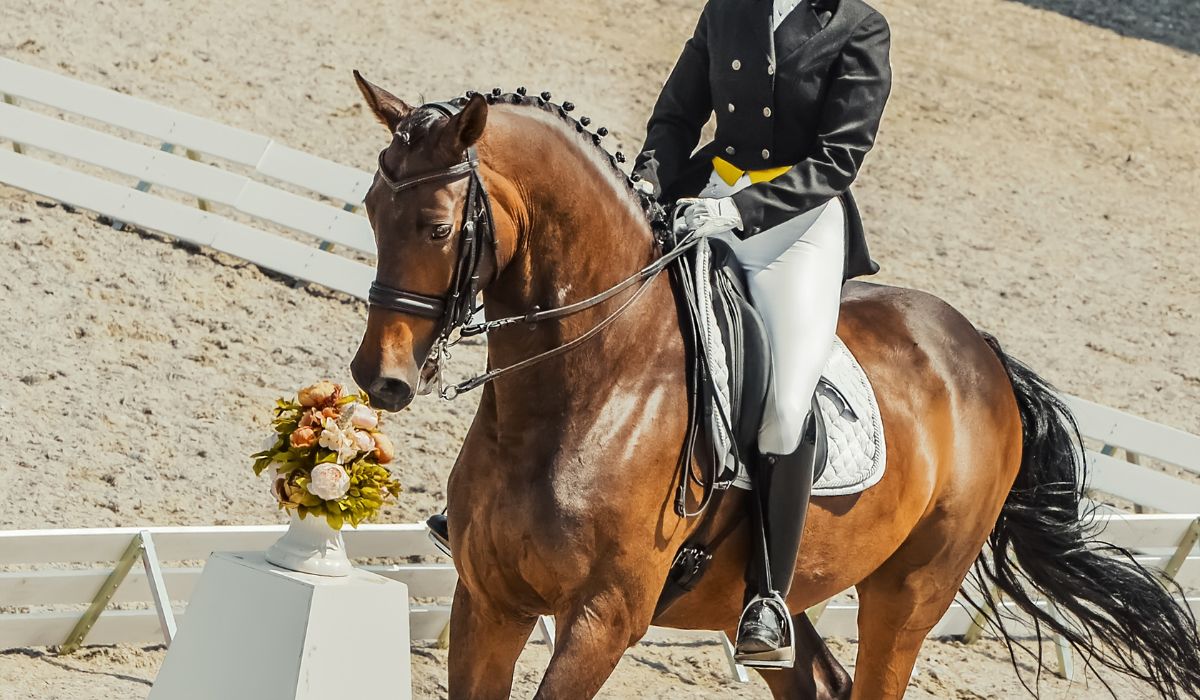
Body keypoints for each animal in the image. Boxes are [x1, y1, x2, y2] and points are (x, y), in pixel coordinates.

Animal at [348, 73, 1200, 696]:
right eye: (369, 208)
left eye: (435, 226)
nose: (377, 377)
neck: (584, 395)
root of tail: (981, 351)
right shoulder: (487, 599)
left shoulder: (599, 620)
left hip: (909, 594)